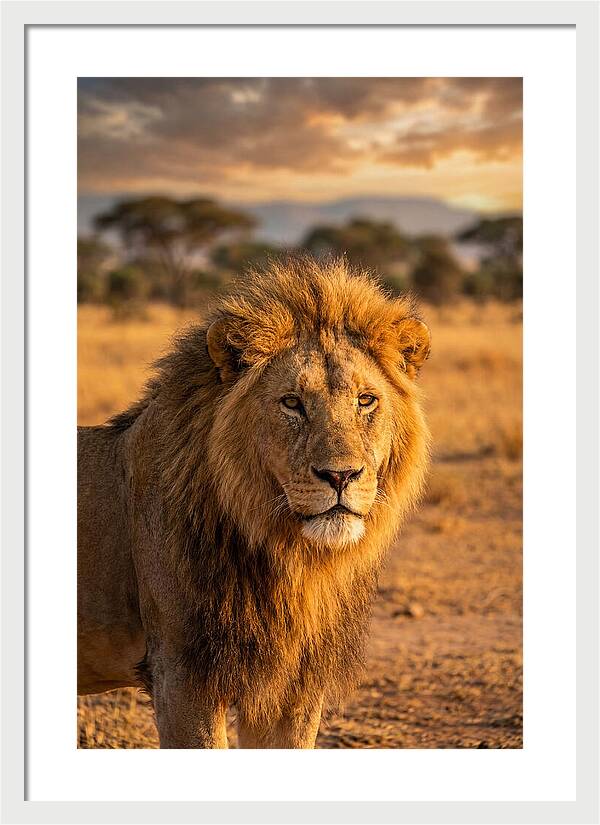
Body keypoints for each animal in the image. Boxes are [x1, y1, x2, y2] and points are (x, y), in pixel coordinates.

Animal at [77, 256, 431, 748]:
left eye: (366, 400)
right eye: (292, 403)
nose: (340, 476)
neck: (291, 560)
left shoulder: (294, 686)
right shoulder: (181, 676)